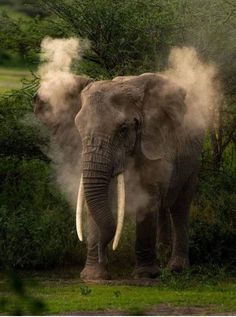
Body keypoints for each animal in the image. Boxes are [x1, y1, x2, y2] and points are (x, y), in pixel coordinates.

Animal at [34, 71, 204, 278]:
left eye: (123, 130)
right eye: (78, 129)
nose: (104, 254)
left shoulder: (152, 142)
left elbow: (147, 196)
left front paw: (145, 275)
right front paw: (94, 277)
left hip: (192, 161)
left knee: (180, 206)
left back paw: (175, 269)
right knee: (164, 206)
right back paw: (163, 256)